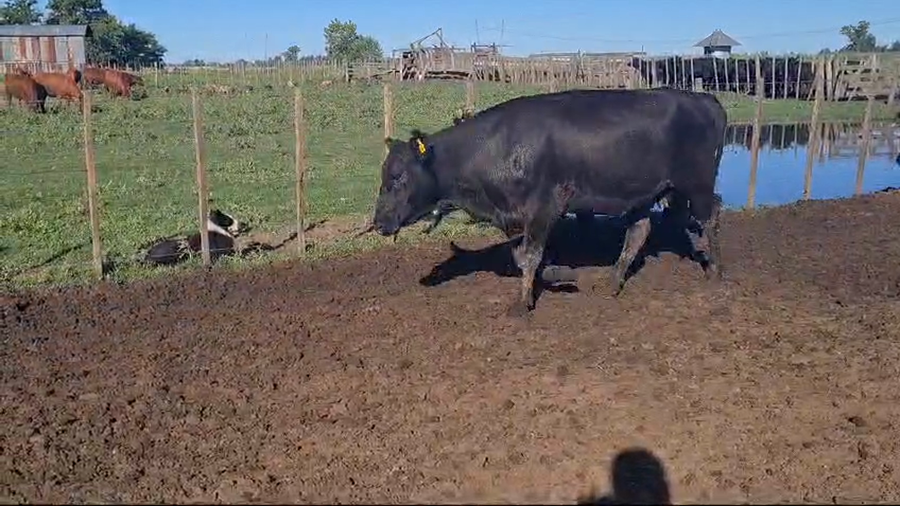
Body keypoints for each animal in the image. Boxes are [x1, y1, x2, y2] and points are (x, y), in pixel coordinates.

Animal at [372, 88, 727, 316]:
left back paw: (715, 270)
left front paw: (522, 304)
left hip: (696, 183)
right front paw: (559, 275)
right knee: (639, 230)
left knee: (709, 216)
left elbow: (529, 256)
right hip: (646, 192)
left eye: (398, 177)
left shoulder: (544, 206)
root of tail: (704, 99)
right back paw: (614, 280)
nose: (378, 223)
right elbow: (524, 256)